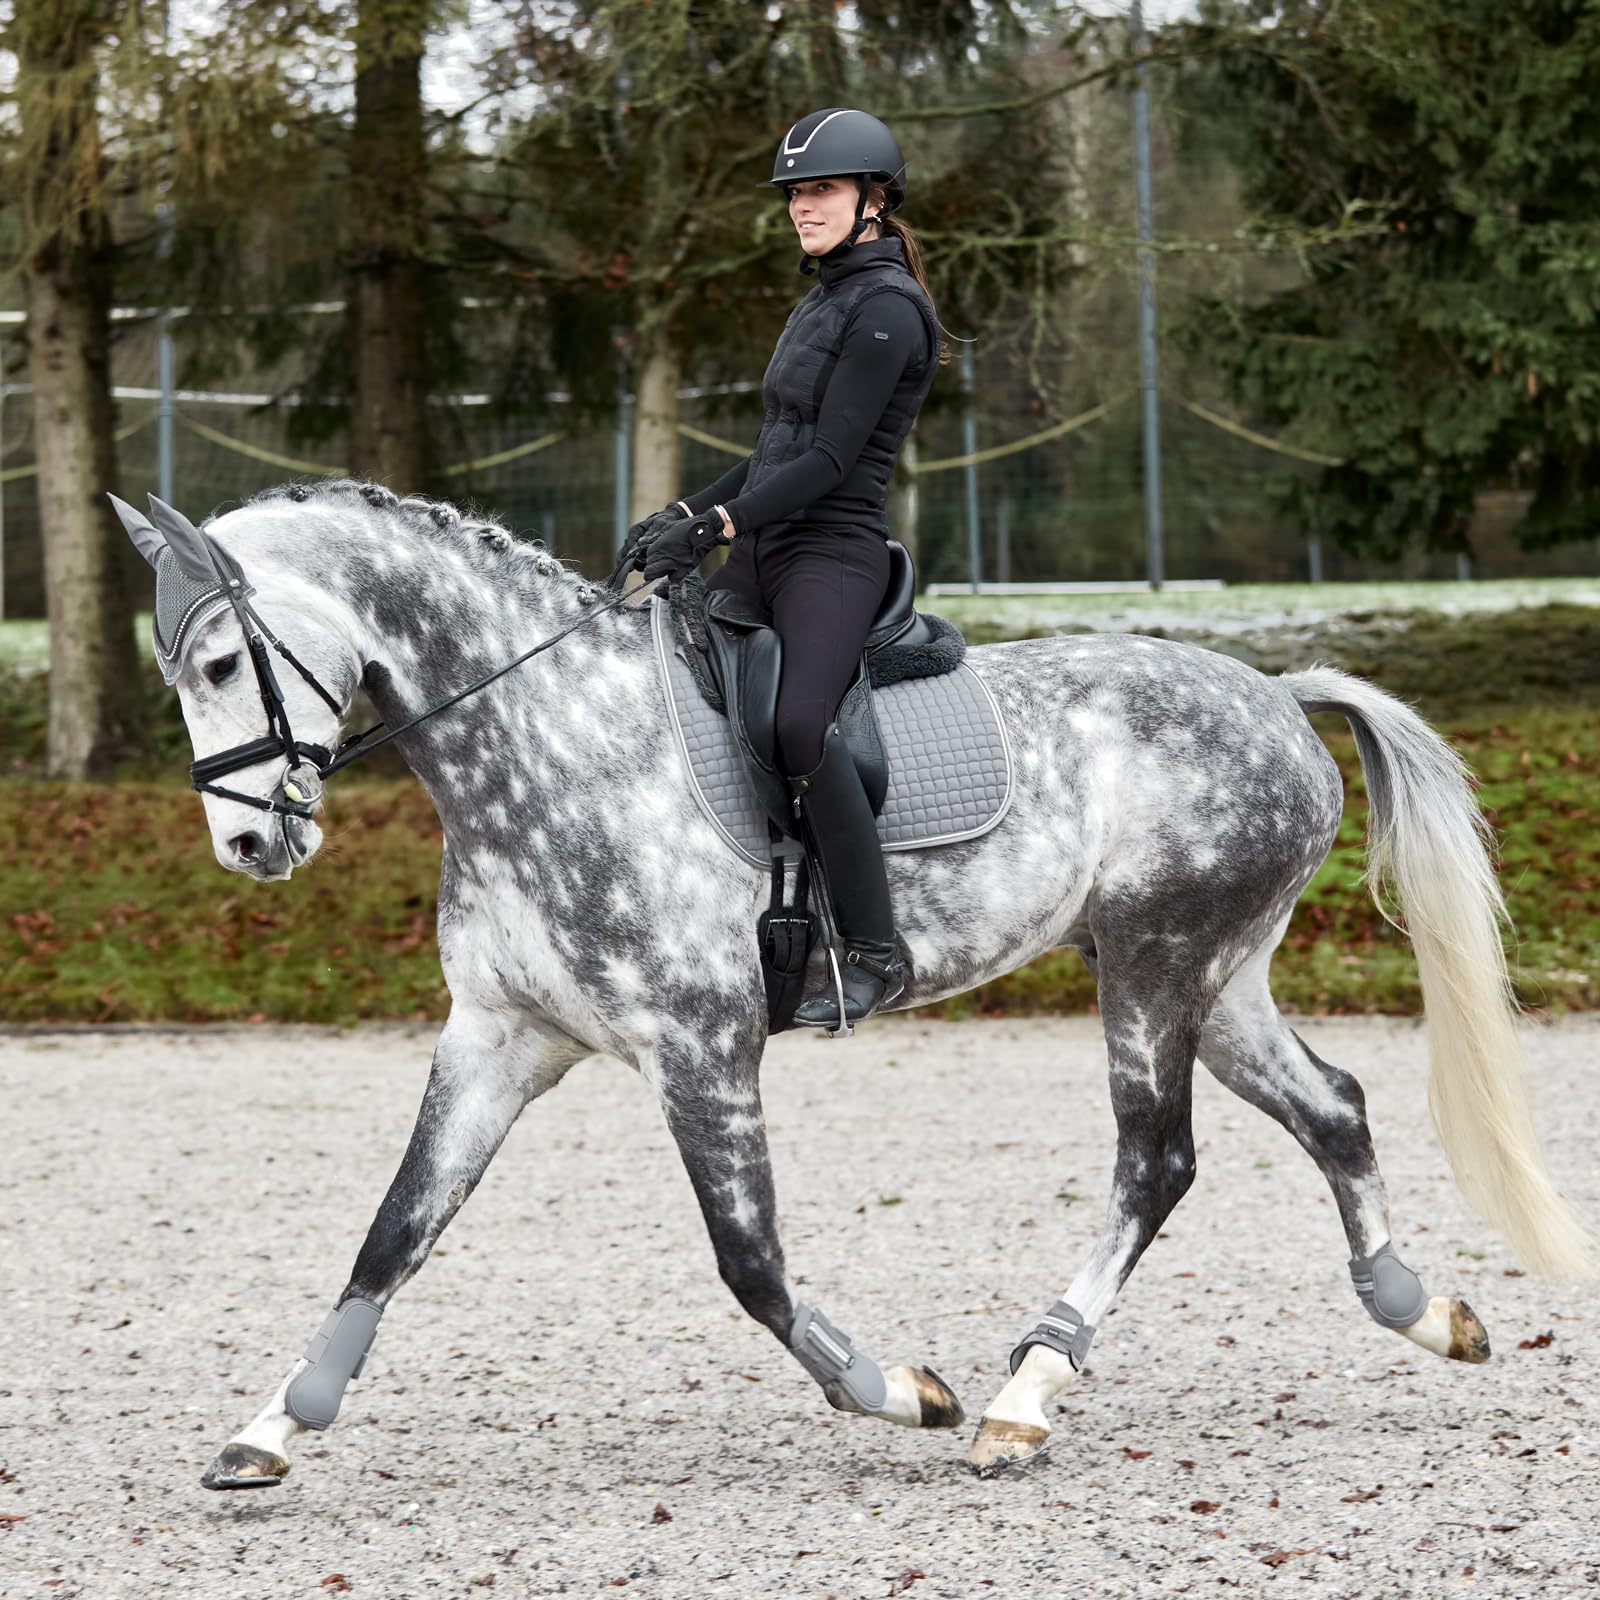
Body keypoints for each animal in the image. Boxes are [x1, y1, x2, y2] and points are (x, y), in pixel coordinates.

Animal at [111, 478, 1592, 1487]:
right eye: (178, 669)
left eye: (223, 660)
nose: (249, 848)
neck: (552, 748)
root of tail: (1280, 693)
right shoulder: (499, 1040)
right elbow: (392, 1232)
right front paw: (271, 1425)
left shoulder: (702, 1048)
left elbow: (752, 1263)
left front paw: (904, 1391)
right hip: (1213, 979)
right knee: (1332, 1104)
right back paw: (1419, 1310)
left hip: (1157, 963)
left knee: (1155, 1160)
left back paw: (1022, 1397)